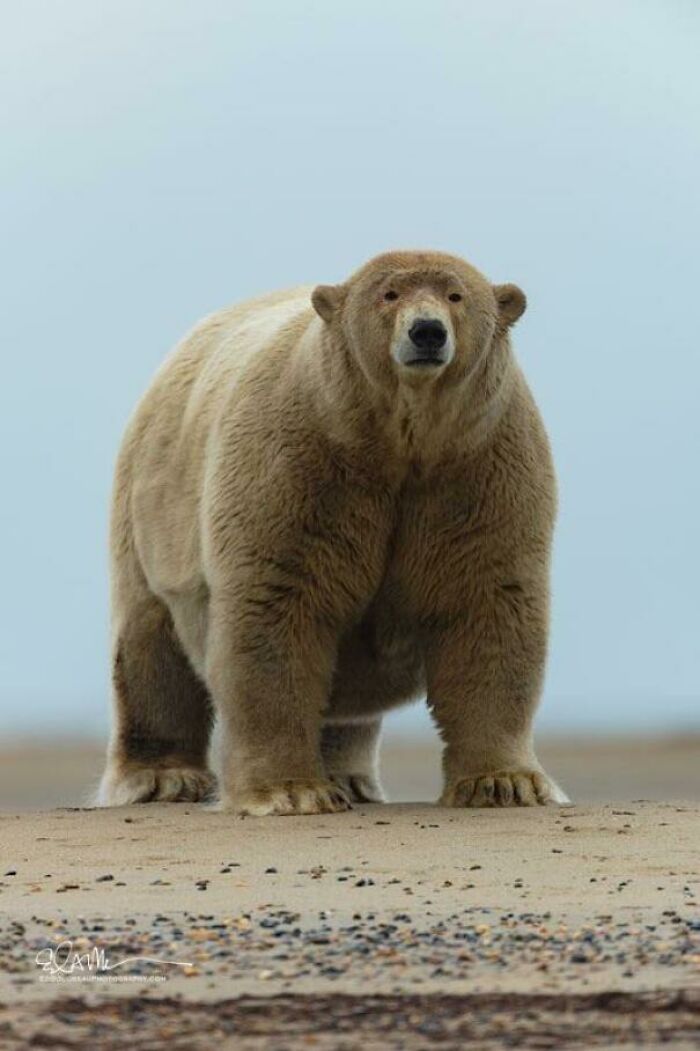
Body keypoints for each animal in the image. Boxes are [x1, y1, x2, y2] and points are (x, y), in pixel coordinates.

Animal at [98, 249, 568, 815]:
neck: (398, 443)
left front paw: (505, 783)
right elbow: (278, 607)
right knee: (150, 644)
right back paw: (163, 778)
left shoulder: (479, 468)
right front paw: (290, 791)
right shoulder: (300, 464)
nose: (427, 332)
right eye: (388, 294)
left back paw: (350, 777)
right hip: (150, 512)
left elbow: (487, 605)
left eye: (456, 295)